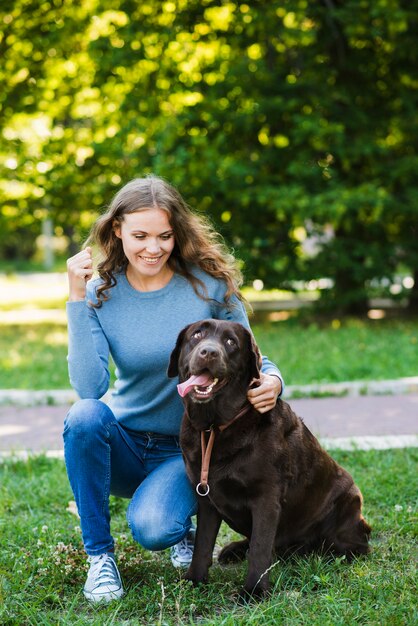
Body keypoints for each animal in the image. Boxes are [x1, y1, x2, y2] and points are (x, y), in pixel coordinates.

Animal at [168, 320, 370, 596]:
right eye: (197, 335)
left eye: (231, 342)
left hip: (346, 503)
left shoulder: (266, 498)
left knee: (352, 546)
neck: (215, 426)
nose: (208, 352)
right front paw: (194, 580)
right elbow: (203, 543)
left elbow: (261, 548)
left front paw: (254, 592)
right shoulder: (207, 499)